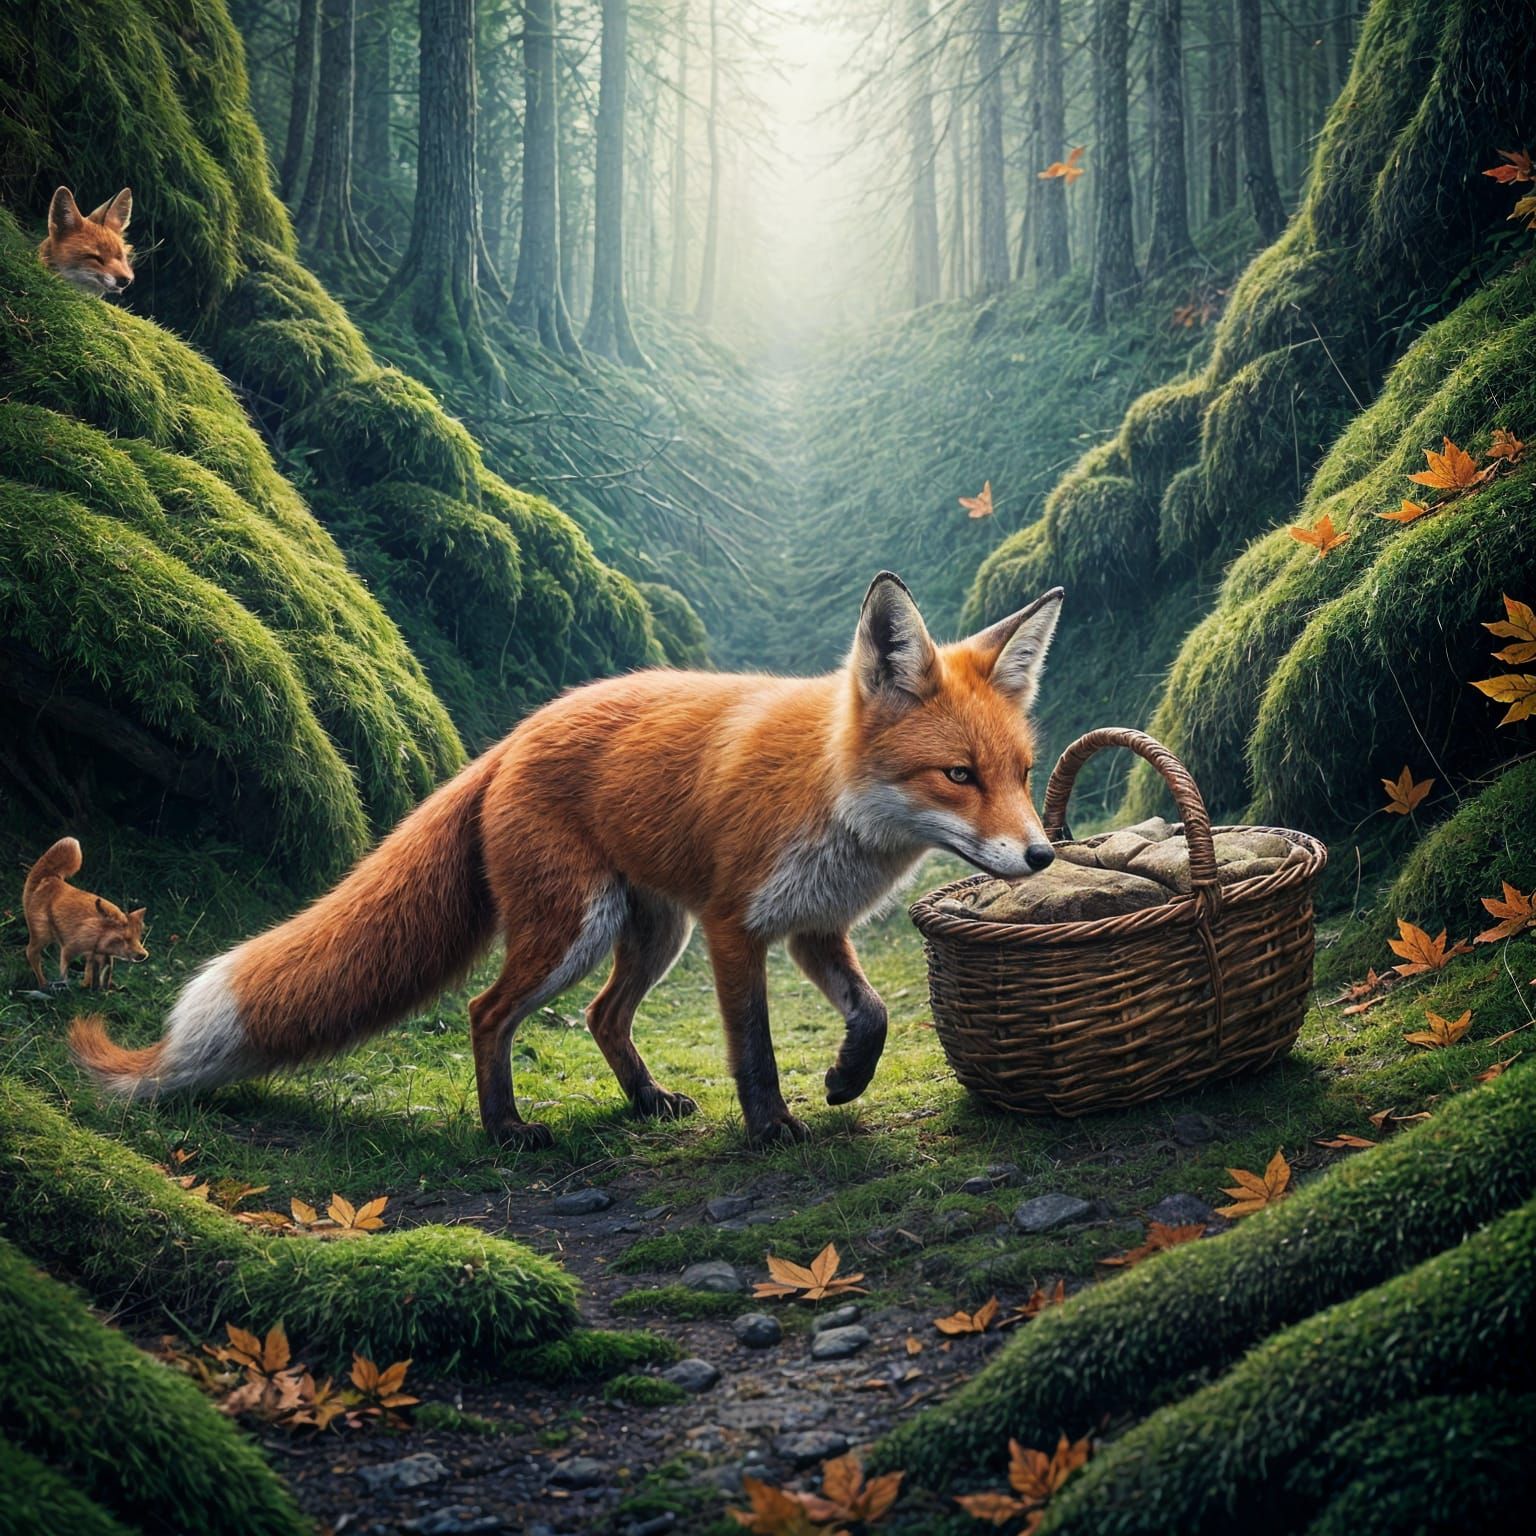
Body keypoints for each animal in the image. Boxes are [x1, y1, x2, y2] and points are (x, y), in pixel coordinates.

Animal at [25, 837, 149, 992]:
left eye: (138, 938)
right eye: (125, 938)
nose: (143, 955)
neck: (97, 937)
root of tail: (50, 878)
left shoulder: (100, 956)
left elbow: (100, 975)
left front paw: (101, 989)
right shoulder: (69, 949)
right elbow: (65, 972)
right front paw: (69, 988)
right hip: (42, 937)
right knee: (31, 954)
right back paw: (43, 985)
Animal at [71, 576, 1063, 1147]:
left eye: (1021, 773)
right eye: (958, 775)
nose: (1043, 853)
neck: (832, 795)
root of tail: (513, 738)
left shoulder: (812, 929)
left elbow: (874, 1015)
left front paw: (846, 1081)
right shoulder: (735, 927)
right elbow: (752, 1046)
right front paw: (773, 1125)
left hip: (647, 933)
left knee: (600, 1017)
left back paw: (644, 1102)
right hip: (577, 928)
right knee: (487, 1012)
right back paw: (505, 1128)